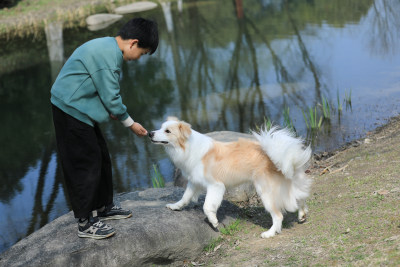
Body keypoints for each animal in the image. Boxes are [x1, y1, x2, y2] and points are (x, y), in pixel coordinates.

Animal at [148, 117, 310, 239]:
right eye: (160, 128)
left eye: (167, 131)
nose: (149, 133)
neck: (187, 147)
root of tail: (275, 155)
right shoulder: (194, 182)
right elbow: (185, 197)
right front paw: (175, 206)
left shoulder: (215, 186)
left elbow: (207, 206)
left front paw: (213, 222)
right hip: (288, 183)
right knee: (300, 197)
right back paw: (301, 215)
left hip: (265, 192)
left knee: (278, 215)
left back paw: (269, 233)